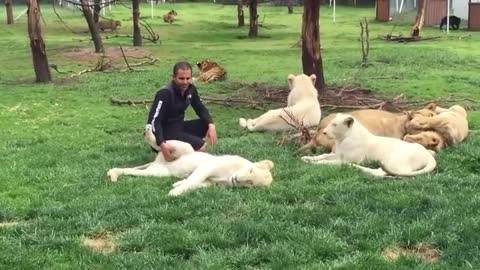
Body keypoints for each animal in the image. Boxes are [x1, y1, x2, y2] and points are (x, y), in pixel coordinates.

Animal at [107, 127, 276, 195]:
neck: (229, 176)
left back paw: (113, 174)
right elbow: (192, 181)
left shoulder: (211, 183)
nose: (237, 180)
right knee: (161, 143)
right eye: (250, 171)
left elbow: (195, 184)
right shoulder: (207, 167)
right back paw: (149, 132)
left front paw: (177, 185)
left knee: (131, 171)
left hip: (156, 173)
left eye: (251, 183)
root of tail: (158, 161)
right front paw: (174, 193)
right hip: (186, 147)